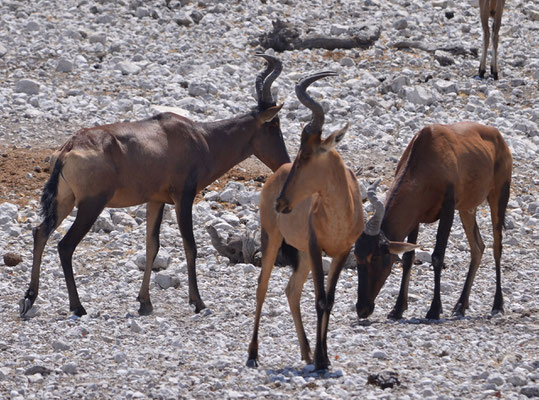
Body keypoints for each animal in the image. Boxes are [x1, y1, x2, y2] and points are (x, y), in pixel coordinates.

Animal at [19, 54, 292, 320]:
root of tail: (69, 146)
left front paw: (145, 303)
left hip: (65, 201)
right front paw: (198, 302)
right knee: (65, 246)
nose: (285, 163)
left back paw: (29, 299)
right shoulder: (184, 197)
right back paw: (77, 307)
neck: (199, 136)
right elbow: (190, 245)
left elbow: (152, 246)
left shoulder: (155, 200)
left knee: (40, 232)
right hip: (90, 205)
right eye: (274, 124)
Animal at [247, 72, 364, 372]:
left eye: (307, 154)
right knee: (262, 287)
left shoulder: (341, 252)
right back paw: (253, 354)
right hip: (273, 239)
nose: (281, 203)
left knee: (292, 289)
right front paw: (323, 360)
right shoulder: (315, 247)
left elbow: (329, 300)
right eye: (298, 152)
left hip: (300, 253)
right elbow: (319, 299)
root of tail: (274, 175)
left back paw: (307, 353)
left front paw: (323, 358)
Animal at [356, 122, 512, 318]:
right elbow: (408, 257)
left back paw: (497, 305)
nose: (362, 309)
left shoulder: (447, 210)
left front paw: (434, 310)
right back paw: (460, 305)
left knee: (497, 247)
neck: (427, 153)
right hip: (467, 209)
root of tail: (499, 137)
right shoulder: (415, 218)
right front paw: (397, 309)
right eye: (356, 255)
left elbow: (437, 256)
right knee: (478, 247)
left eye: (376, 256)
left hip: (498, 196)